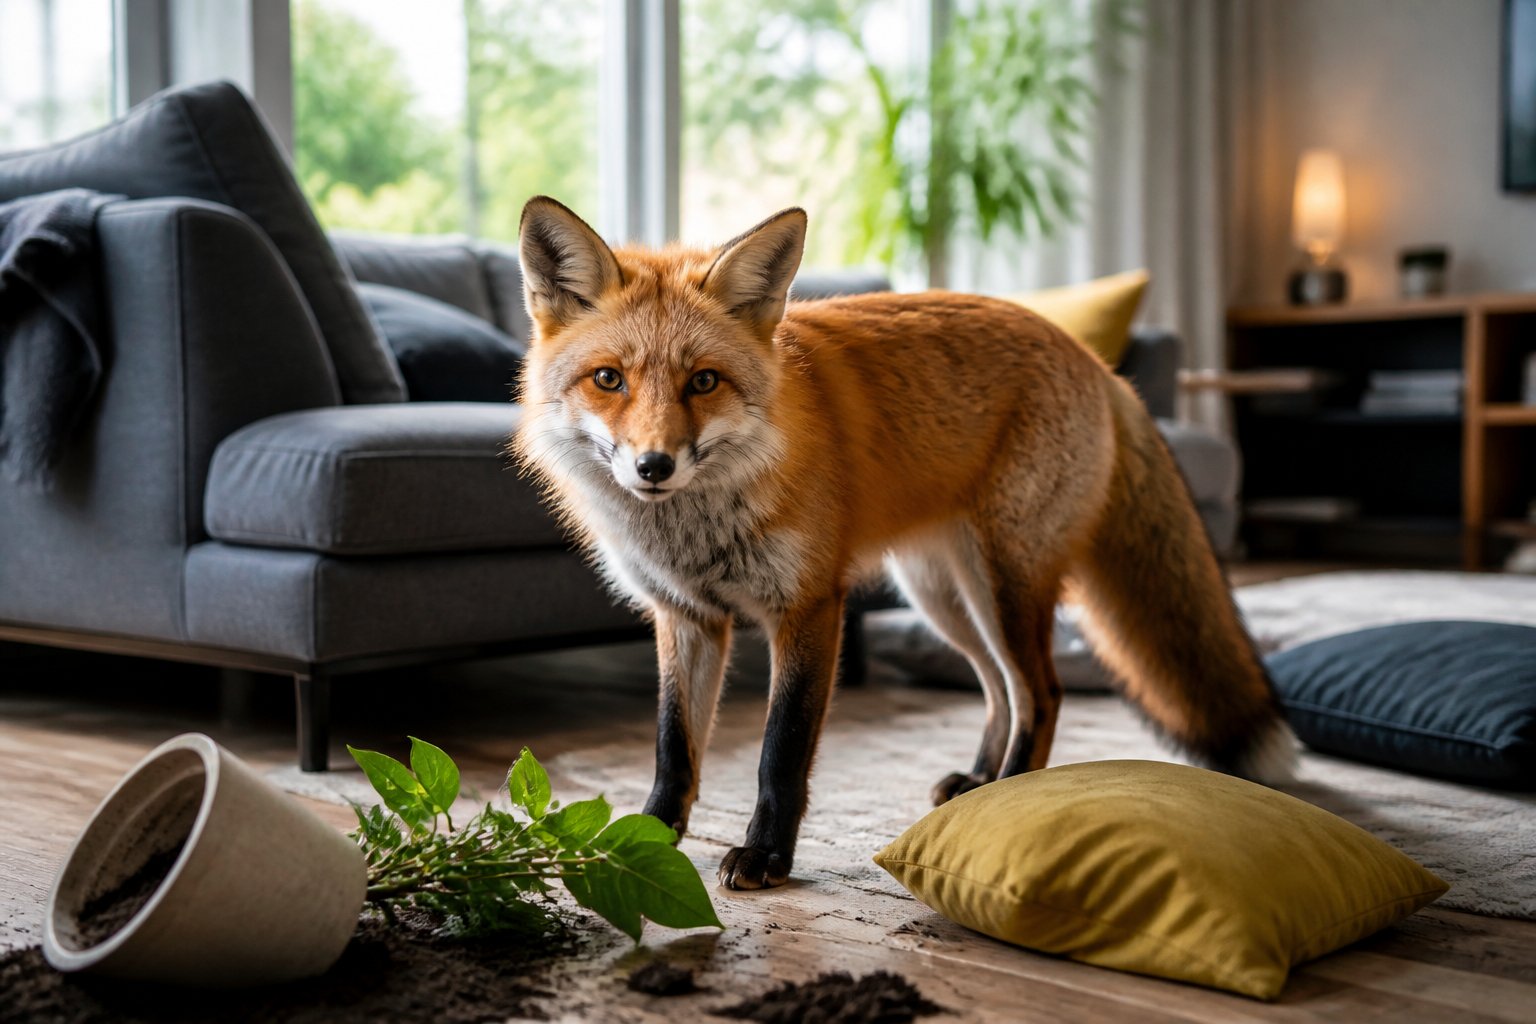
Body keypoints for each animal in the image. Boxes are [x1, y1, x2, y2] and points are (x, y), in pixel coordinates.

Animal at [512, 195, 1295, 891]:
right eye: (608, 379)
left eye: (703, 381)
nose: (653, 466)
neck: (698, 526)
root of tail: (1096, 362)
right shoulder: (687, 616)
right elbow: (674, 747)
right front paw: (644, 840)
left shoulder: (809, 608)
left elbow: (780, 752)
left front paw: (766, 856)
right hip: (944, 599)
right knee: (1000, 690)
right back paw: (980, 781)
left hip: (1003, 587)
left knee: (1041, 693)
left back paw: (1010, 795)